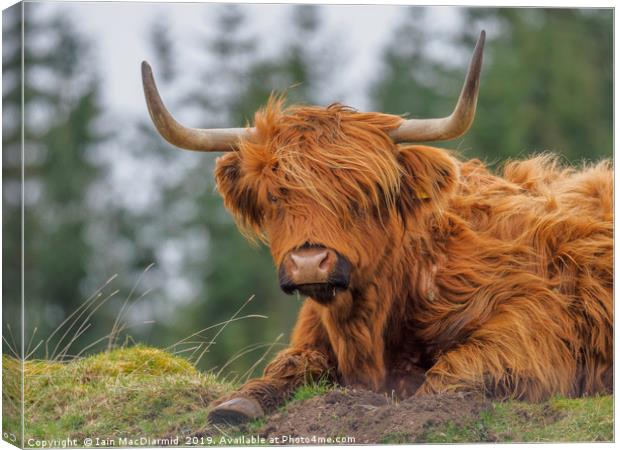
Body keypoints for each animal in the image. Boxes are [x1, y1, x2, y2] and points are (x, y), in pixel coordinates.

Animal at [143, 32, 612, 426]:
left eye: (365, 193)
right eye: (275, 195)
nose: (309, 263)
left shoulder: (535, 321)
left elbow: (461, 369)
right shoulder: (314, 337)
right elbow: (289, 366)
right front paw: (236, 406)